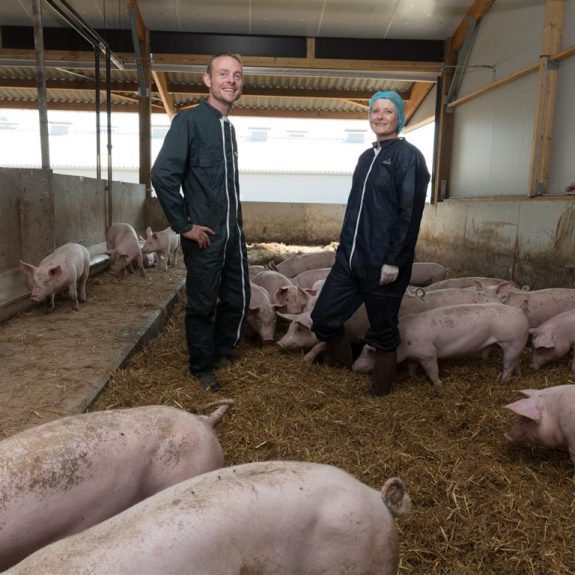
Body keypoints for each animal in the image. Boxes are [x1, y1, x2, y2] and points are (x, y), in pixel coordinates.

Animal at [394, 304, 528, 390]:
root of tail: (519, 311)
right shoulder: (413, 357)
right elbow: (411, 367)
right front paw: (412, 377)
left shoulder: (428, 354)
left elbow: (433, 371)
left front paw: (439, 385)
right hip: (513, 345)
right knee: (517, 361)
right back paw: (519, 375)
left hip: (512, 342)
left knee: (508, 365)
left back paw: (502, 382)